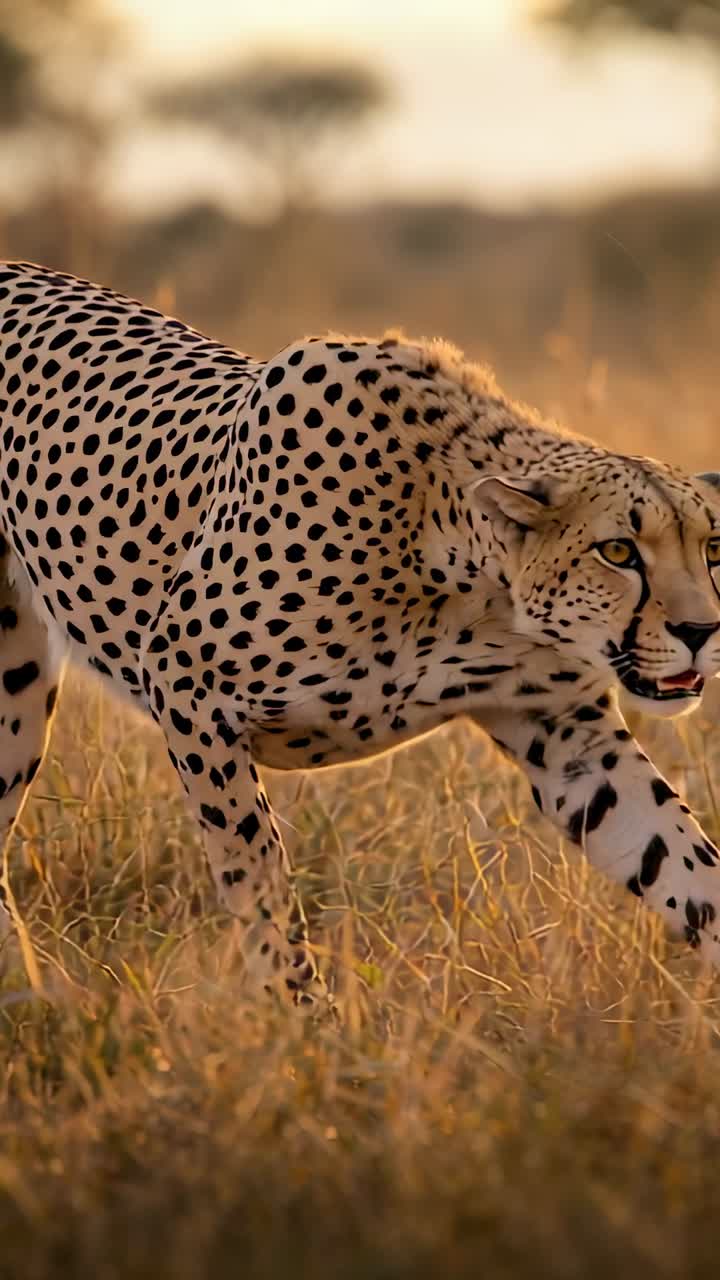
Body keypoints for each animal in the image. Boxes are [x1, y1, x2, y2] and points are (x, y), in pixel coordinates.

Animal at [1, 258, 720, 1012]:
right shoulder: (185, 684)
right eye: (619, 551)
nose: (702, 630)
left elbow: (681, 858)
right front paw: (297, 1019)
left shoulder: (566, 735)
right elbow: (255, 868)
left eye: (712, 548)